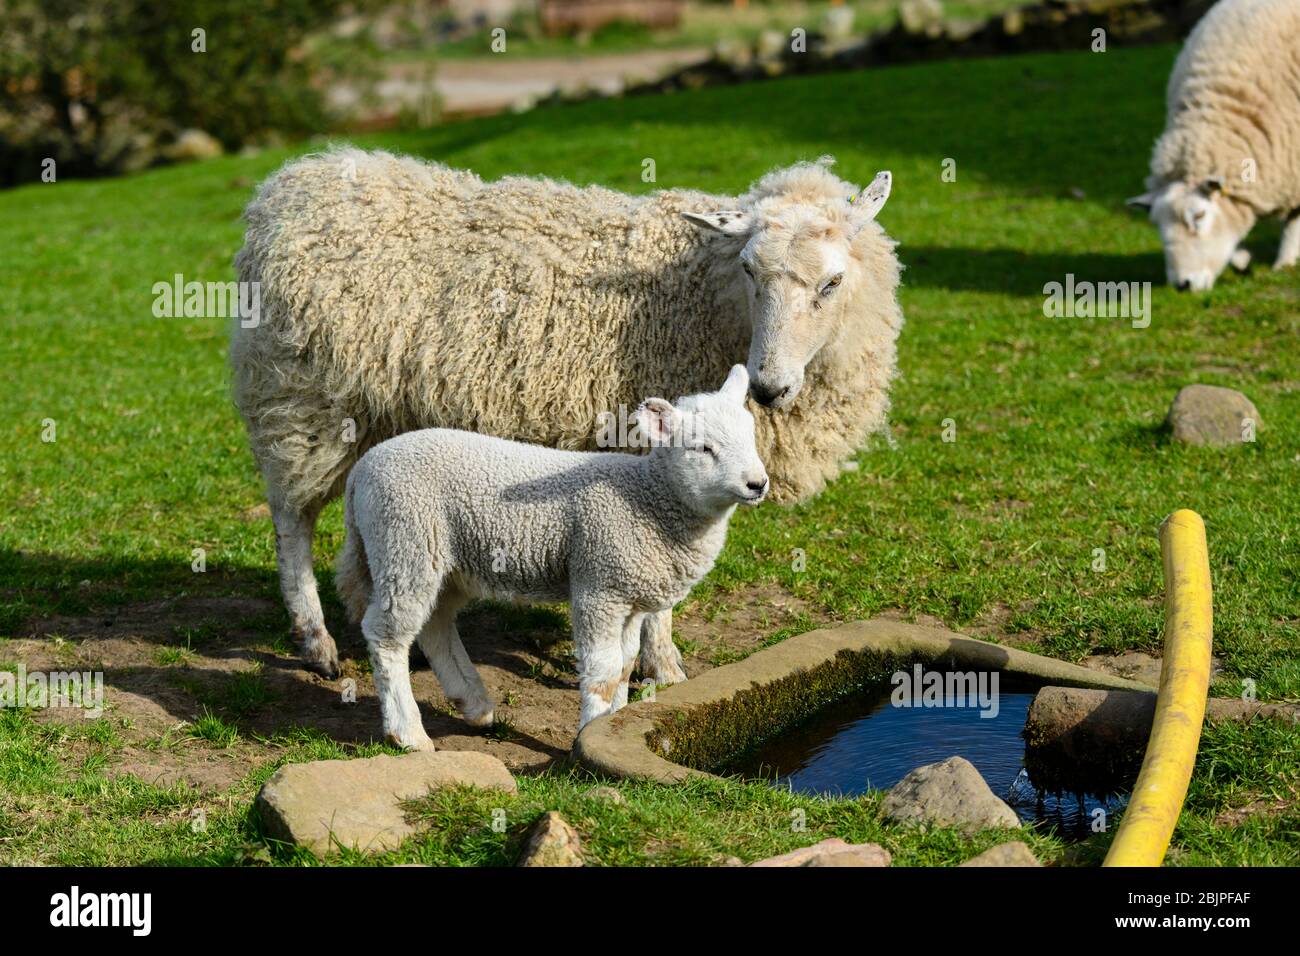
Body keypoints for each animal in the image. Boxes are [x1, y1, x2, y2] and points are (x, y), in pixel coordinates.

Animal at [231, 145, 904, 686]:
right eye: (749, 270)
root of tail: (288, 187)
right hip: (300, 400)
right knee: (292, 520)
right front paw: (662, 665)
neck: (705, 295)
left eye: (832, 282)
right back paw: (315, 640)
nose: (767, 387)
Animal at [335, 366, 764, 749]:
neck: (647, 497)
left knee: (435, 623)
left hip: (445, 559)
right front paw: (588, 735)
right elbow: (603, 670)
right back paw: (407, 733)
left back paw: (474, 704)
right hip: (405, 538)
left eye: (751, 438)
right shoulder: (599, 583)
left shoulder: (630, 596)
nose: (758, 484)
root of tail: (362, 471)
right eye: (703, 448)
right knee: (387, 635)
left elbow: (624, 665)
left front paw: (612, 722)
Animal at [1128, 0, 1300, 291]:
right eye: (1158, 226)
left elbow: (1292, 221)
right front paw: (1241, 259)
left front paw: (1285, 263)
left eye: (1198, 216)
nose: (1182, 285)